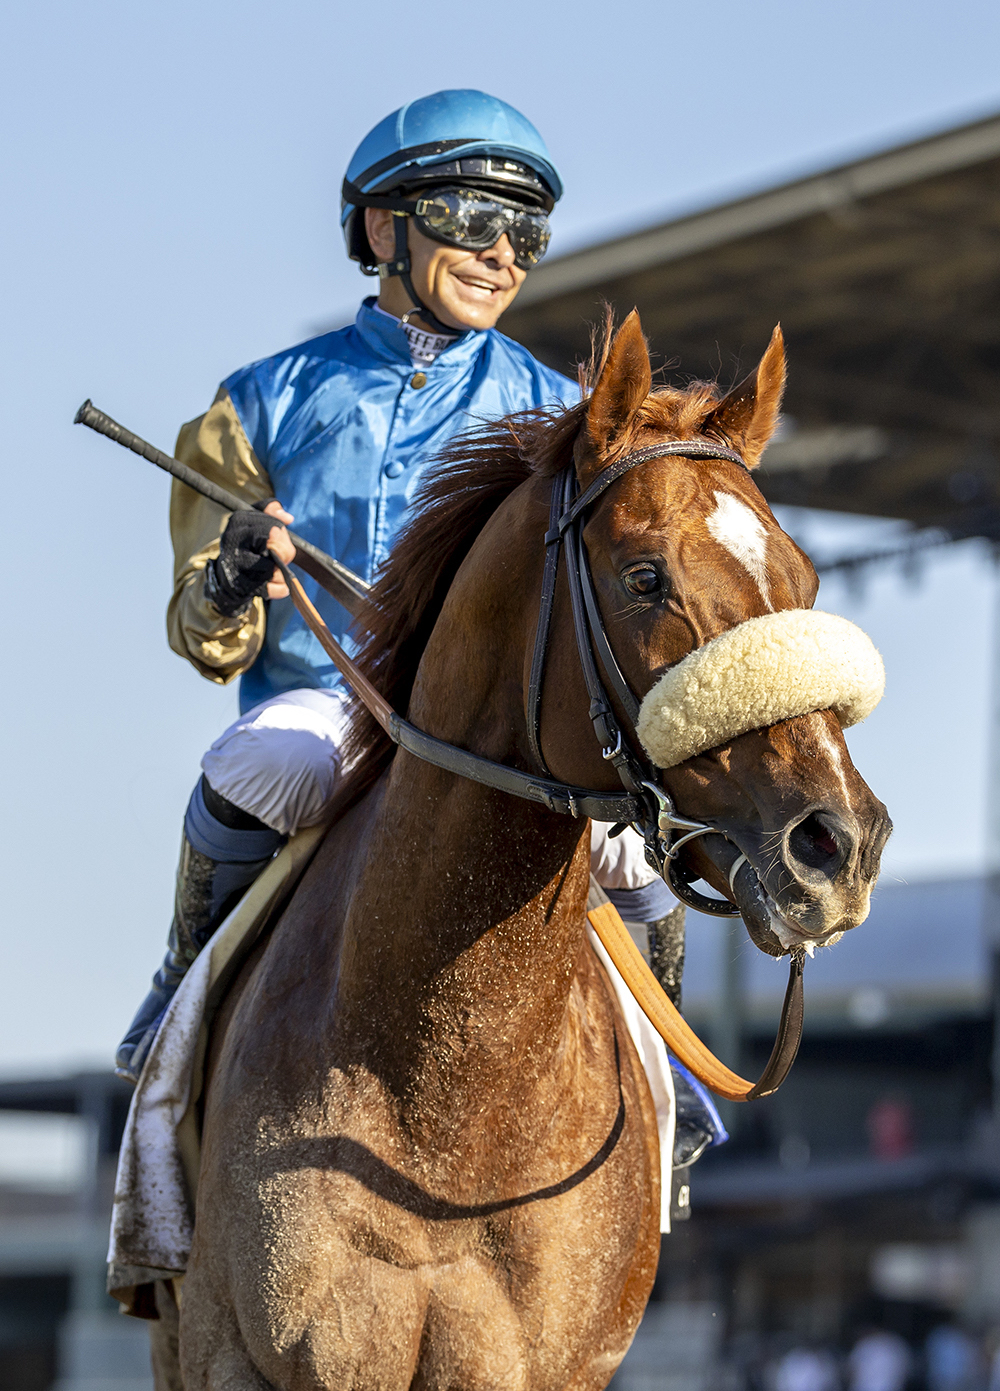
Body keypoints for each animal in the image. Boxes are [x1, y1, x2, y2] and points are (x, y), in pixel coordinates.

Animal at [173, 315, 890, 1391]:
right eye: (645, 577)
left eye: (803, 580)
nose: (838, 843)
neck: (440, 1102)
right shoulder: (266, 1354)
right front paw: (243, 555)